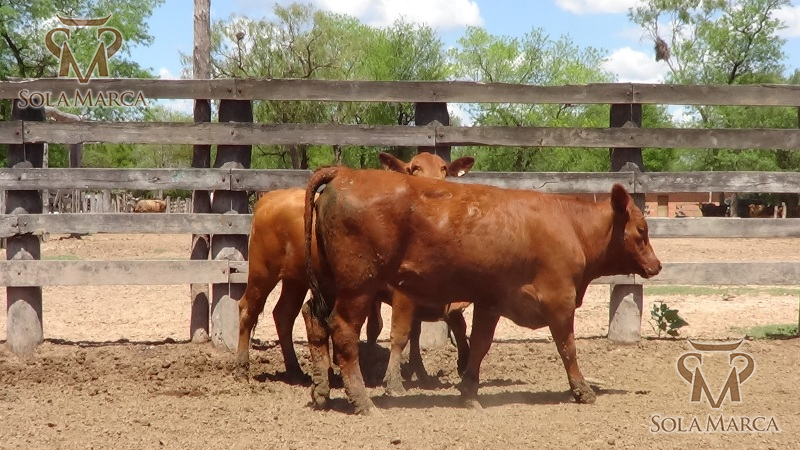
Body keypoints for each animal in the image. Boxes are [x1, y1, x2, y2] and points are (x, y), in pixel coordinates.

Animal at [234, 151, 476, 384]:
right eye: (415, 169)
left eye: (444, 169)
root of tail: (270, 197)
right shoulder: (398, 294)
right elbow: (396, 332)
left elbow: (410, 332)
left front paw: (419, 372)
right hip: (262, 272)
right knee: (248, 309)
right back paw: (242, 369)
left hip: (295, 280)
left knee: (284, 314)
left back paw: (295, 370)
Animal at [302, 167, 662, 415]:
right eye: (641, 230)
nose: (657, 265)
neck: (569, 224)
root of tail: (345, 173)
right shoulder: (560, 301)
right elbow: (568, 348)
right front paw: (583, 391)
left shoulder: (491, 301)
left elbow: (478, 346)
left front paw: (469, 393)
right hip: (358, 287)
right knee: (343, 332)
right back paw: (362, 401)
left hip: (330, 285)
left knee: (315, 322)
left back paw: (321, 390)